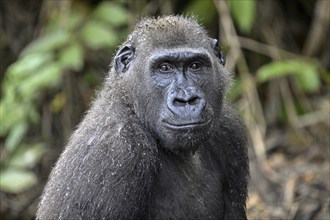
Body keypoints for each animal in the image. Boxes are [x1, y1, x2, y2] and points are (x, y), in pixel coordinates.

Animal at [36, 15, 248, 220]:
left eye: (196, 65)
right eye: (164, 68)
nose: (186, 99)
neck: (129, 103)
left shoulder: (230, 128)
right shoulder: (117, 151)